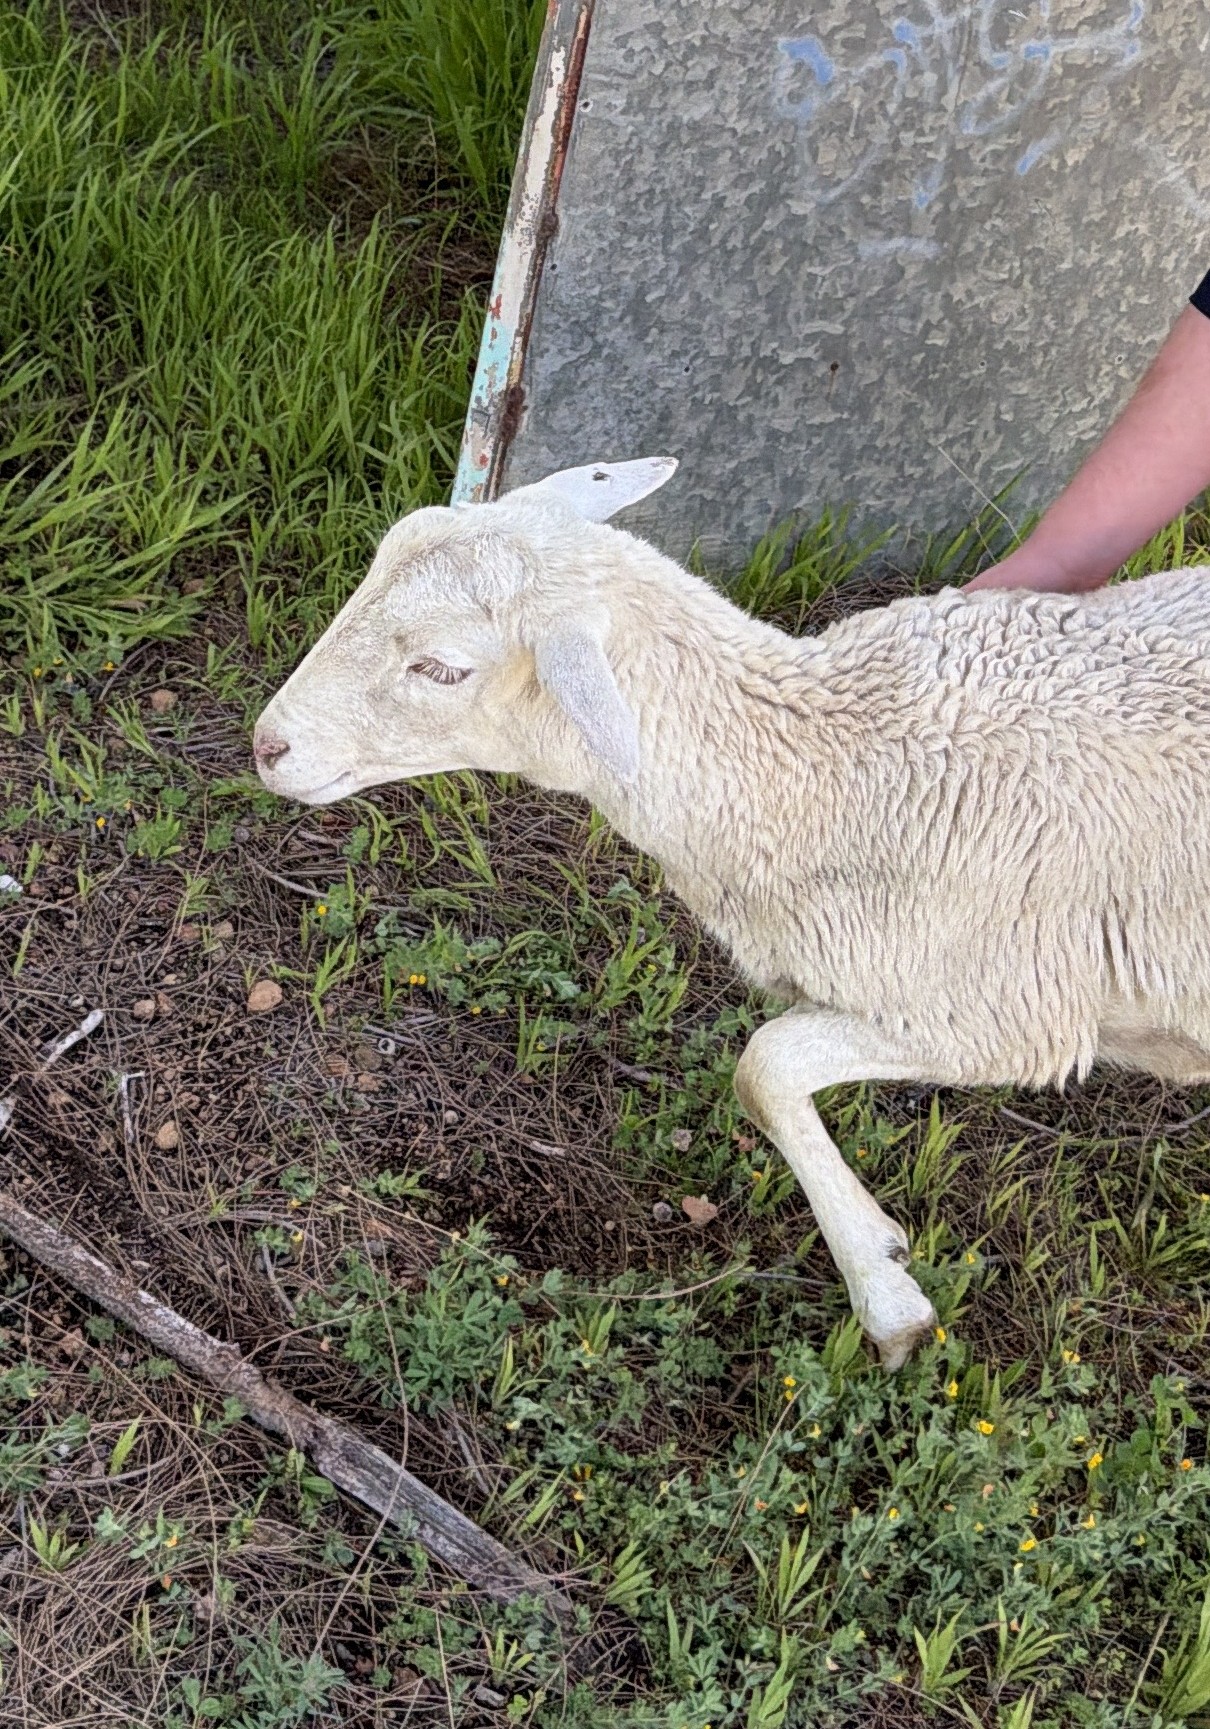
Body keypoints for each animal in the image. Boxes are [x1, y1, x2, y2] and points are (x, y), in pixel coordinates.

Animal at [254, 456, 1210, 1369]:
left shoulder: (1001, 1010)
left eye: (442, 667)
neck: (827, 771)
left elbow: (764, 1066)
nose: (269, 745)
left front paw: (884, 1291)